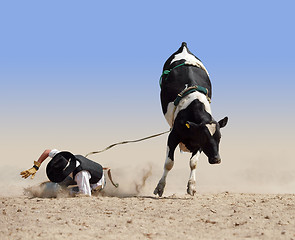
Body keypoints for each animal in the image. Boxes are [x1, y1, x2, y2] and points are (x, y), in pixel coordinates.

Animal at [155, 42, 229, 197]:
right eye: (205, 137)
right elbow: (169, 163)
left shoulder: (198, 143)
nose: (216, 159)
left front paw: (191, 187)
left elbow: (193, 162)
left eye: (219, 137)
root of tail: (184, 47)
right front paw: (160, 187)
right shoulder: (173, 135)